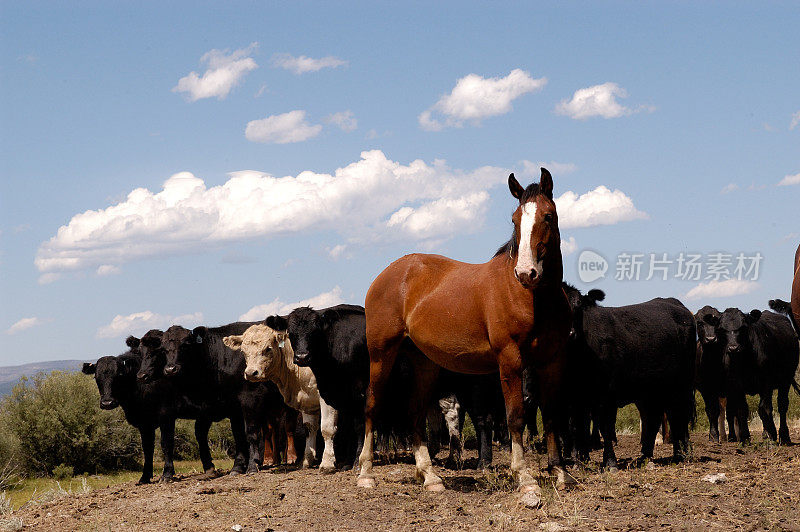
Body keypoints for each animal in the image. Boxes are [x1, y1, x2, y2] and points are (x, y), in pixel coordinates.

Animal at [81, 338, 216, 484]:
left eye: (119, 375)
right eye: (96, 377)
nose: (107, 402)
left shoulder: (166, 415)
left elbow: (166, 443)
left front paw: (167, 474)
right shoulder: (144, 423)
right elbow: (147, 448)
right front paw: (144, 477)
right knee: (201, 435)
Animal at [139, 322, 292, 476]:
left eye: (185, 345)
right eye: (163, 350)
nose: (170, 369)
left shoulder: (251, 398)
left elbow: (252, 433)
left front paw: (252, 466)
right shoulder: (231, 408)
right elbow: (237, 435)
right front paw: (238, 466)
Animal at [358, 167, 576, 494]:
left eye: (548, 216)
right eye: (515, 219)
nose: (526, 273)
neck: (532, 298)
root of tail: (389, 273)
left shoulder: (553, 361)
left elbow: (551, 415)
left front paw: (560, 474)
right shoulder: (509, 359)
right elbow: (515, 416)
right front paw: (524, 478)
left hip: (424, 363)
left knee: (414, 413)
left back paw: (431, 477)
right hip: (381, 353)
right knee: (373, 405)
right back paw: (366, 474)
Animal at [560, 284, 696, 468]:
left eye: (578, 306)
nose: (569, 333)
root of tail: (674, 303)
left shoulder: (607, 394)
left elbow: (606, 427)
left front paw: (610, 462)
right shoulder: (574, 400)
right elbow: (576, 428)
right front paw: (577, 461)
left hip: (682, 385)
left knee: (678, 416)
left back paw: (682, 455)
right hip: (652, 390)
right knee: (655, 418)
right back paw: (646, 456)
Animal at [716, 308, 796, 444]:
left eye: (743, 327)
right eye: (721, 328)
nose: (733, 348)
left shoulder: (766, 383)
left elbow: (764, 408)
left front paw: (770, 435)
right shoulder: (736, 385)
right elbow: (742, 409)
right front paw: (745, 437)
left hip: (786, 380)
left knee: (782, 405)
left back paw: (784, 436)